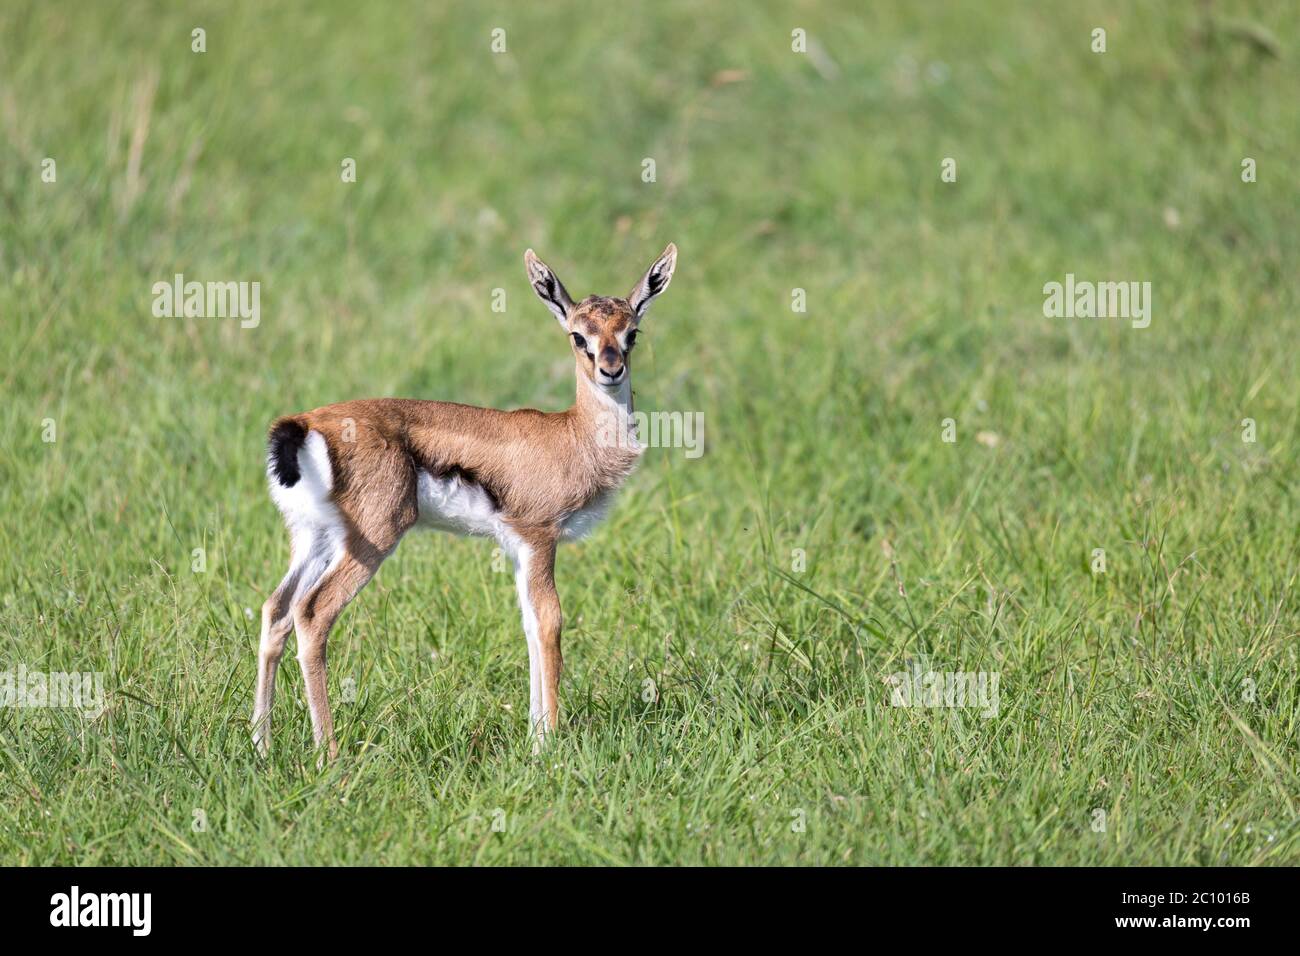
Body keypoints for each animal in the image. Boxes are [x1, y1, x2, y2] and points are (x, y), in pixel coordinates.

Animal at [252, 244, 678, 758]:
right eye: (579, 336)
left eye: (631, 332)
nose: (610, 370)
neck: (573, 436)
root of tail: (303, 425)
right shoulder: (539, 537)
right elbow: (550, 622)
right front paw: (549, 748)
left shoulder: (516, 547)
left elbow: (529, 626)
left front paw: (534, 738)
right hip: (372, 540)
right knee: (312, 615)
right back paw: (329, 753)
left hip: (315, 540)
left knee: (276, 610)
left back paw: (260, 745)